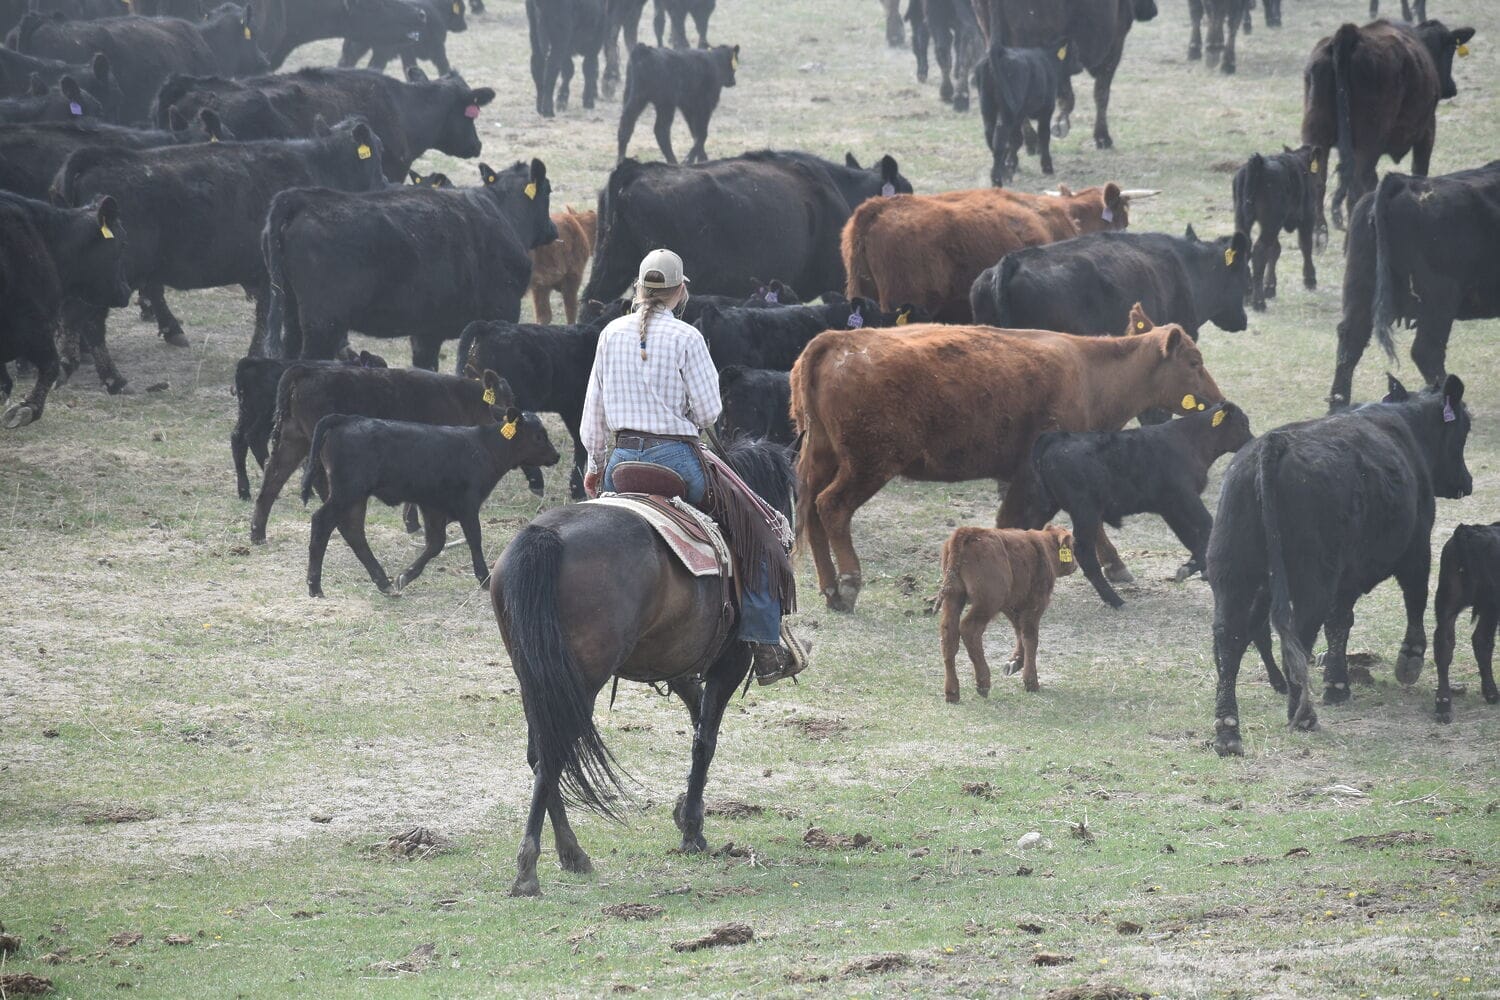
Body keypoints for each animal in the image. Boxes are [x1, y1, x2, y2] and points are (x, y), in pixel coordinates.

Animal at [491, 437, 796, 897]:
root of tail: (544, 537)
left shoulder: (680, 667)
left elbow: (697, 719)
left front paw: (685, 812)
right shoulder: (728, 663)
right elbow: (705, 740)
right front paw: (692, 829)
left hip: (536, 677)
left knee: (541, 752)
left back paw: (572, 854)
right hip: (579, 682)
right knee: (553, 754)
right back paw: (529, 870)